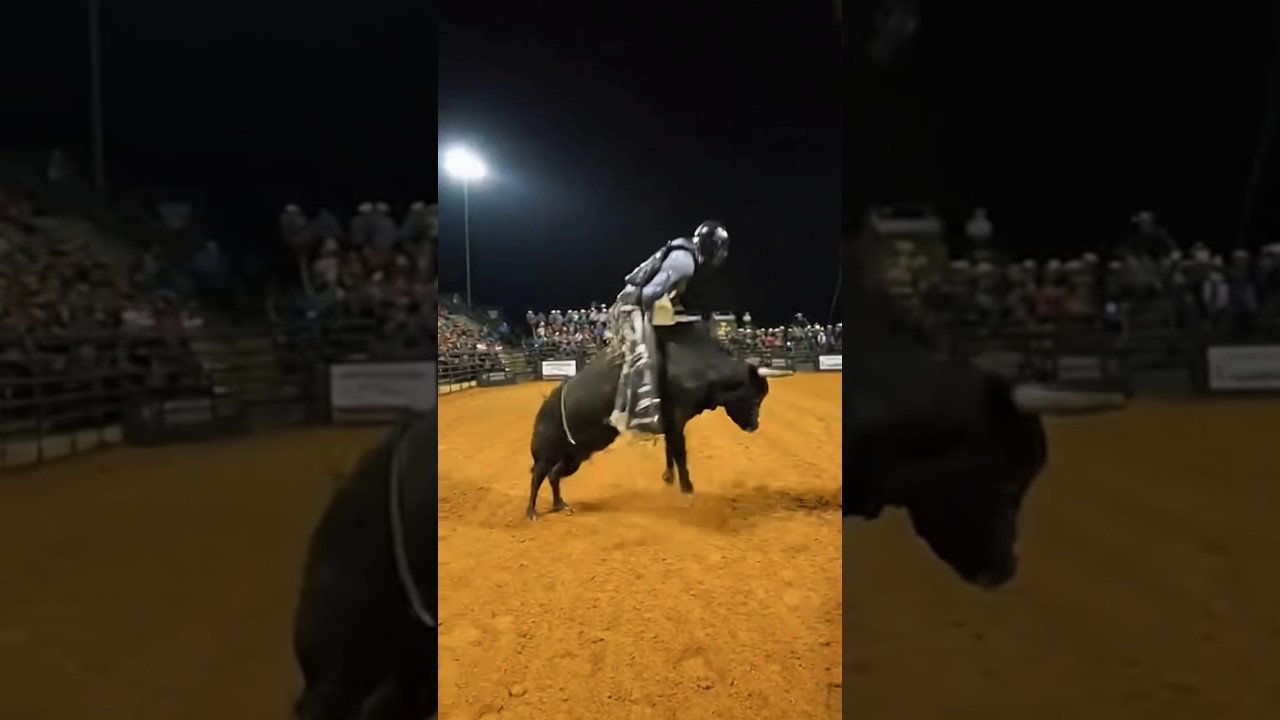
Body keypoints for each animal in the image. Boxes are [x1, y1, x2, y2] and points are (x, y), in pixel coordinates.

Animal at [526, 321, 787, 521]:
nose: (754, 425)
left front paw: (669, 479)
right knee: (538, 475)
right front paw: (688, 490)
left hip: (574, 455)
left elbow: (670, 449)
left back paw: (560, 505)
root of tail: (544, 407)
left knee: (554, 475)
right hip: (547, 452)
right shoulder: (676, 418)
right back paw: (532, 512)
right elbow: (679, 453)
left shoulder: (671, 423)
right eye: (755, 397)